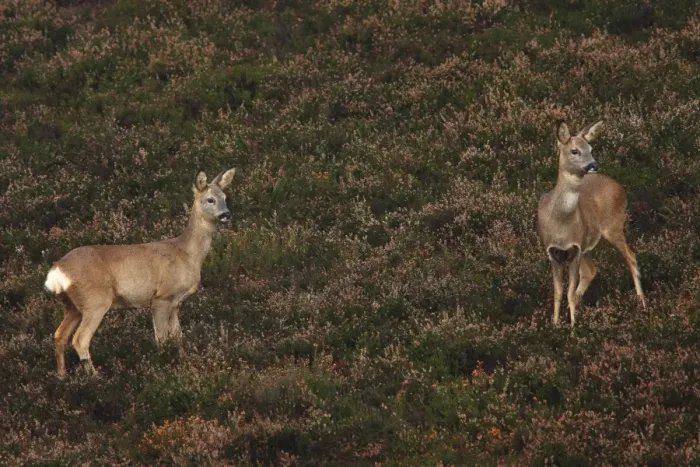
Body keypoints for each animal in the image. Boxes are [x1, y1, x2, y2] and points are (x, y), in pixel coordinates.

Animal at [44, 168, 235, 377]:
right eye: (210, 199)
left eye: (225, 197)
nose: (226, 214)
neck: (186, 254)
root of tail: (56, 272)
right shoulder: (161, 297)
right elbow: (161, 338)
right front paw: (163, 365)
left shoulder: (175, 303)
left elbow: (178, 337)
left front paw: (183, 361)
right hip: (95, 301)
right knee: (80, 339)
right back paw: (95, 377)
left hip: (73, 305)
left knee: (59, 335)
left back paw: (62, 375)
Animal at [536, 120, 646, 330]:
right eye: (574, 150)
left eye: (591, 148)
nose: (594, 165)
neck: (560, 223)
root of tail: (619, 186)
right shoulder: (552, 251)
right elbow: (558, 292)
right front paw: (555, 324)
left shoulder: (575, 248)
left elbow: (568, 292)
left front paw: (573, 327)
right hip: (592, 243)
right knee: (591, 270)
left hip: (614, 227)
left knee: (631, 256)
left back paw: (642, 303)